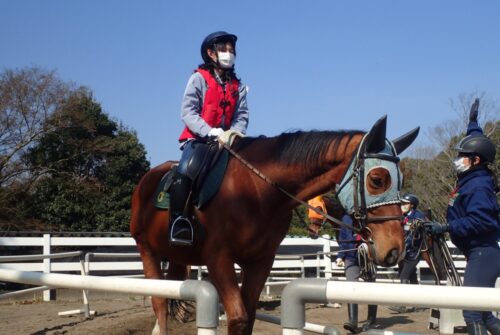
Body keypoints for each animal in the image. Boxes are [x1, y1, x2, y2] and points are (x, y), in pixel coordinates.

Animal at [132, 117, 418, 334]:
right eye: (377, 180)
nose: (395, 250)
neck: (256, 190)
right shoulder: (218, 258)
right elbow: (238, 318)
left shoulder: (260, 261)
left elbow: (248, 317)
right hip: (147, 250)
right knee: (159, 302)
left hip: (177, 257)